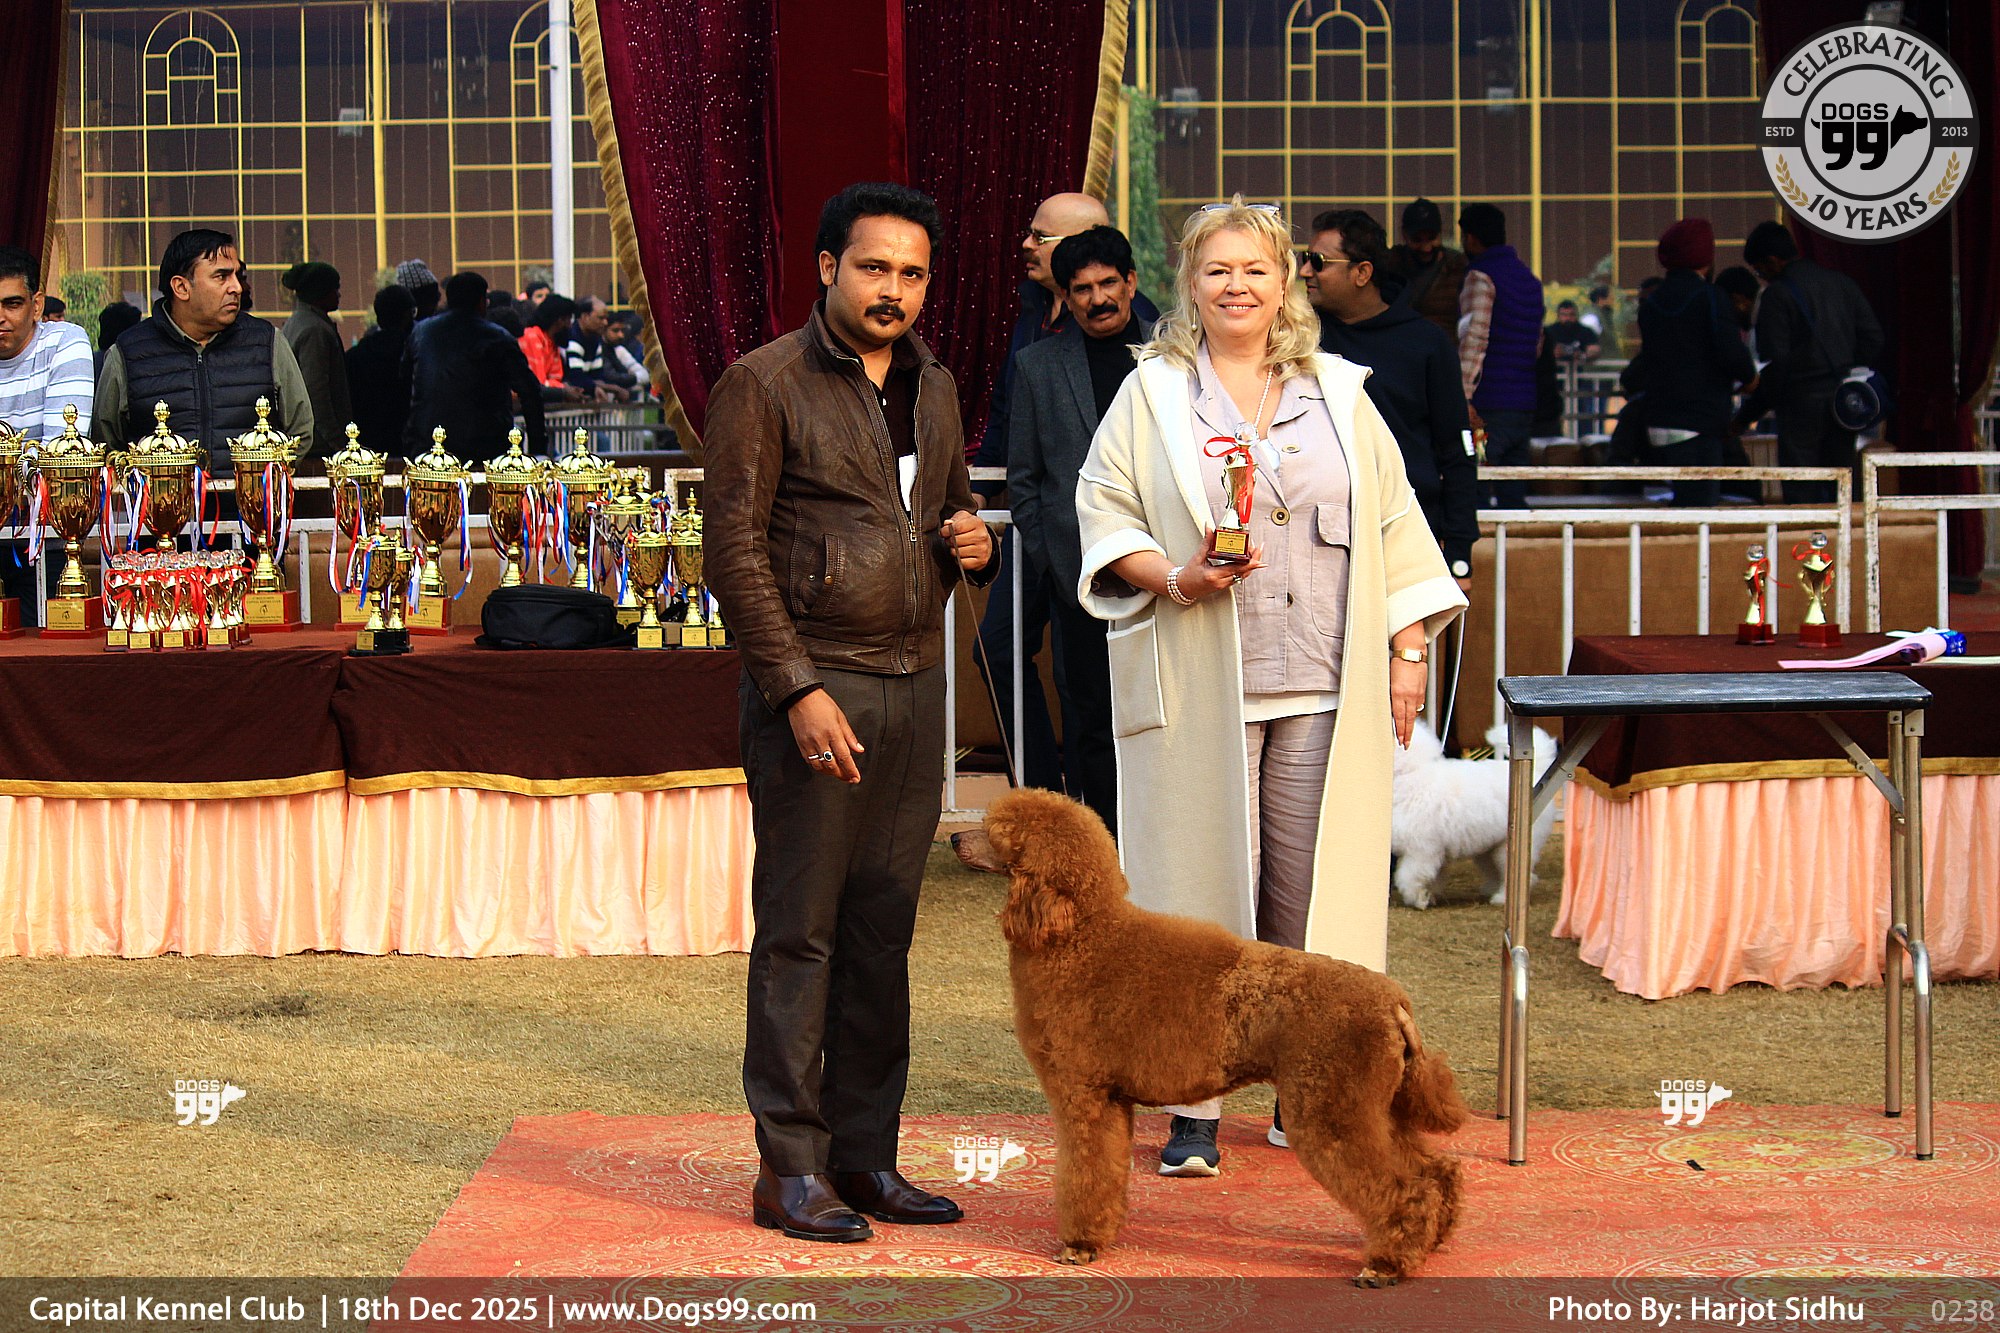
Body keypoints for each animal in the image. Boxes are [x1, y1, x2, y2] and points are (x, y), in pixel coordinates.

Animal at [962, 788, 1468, 1286]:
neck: (1077, 935)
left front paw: (1080, 1245)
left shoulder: (1084, 1094)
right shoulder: (1111, 1100)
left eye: (996, 831)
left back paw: (1386, 1264)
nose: (955, 840)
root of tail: (1394, 1003)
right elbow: (1105, 1173)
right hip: (1375, 1106)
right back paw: (1431, 1239)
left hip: (1332, 1106)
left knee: (1402, 1185)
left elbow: (1084, 1173)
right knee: (1434, 1172)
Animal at [1390, 720, 1558, 909]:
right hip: (1488, 848)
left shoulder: (1421, 850)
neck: (1409, 773)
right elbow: (1434, 876)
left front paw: (1418, 899)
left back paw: (1502, 898)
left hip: (1509, 846)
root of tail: (1538, 771)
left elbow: (1409, 877)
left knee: (1515, 875)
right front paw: (1429, 895)